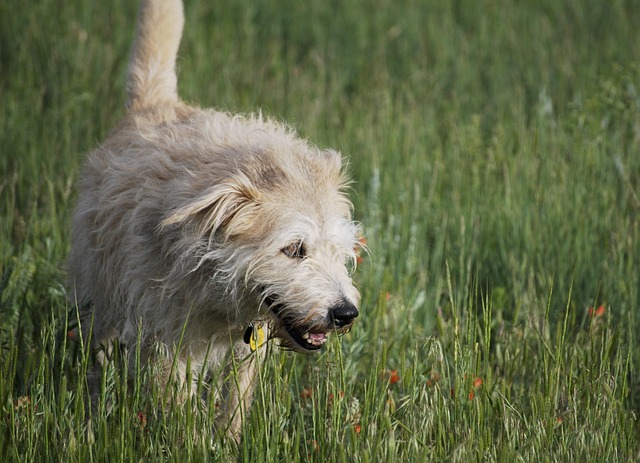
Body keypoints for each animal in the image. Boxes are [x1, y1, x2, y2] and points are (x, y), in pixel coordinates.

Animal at [68, 0, 362, 442]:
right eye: (294, 249)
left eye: (339, 251)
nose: (345, 313)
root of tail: (155, 107)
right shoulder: (168, 345)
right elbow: (179, 410)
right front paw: (188, 445)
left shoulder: (249, 348)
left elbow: (235, 403)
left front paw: (229, 442)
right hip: (101, 301)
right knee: (96, 357)